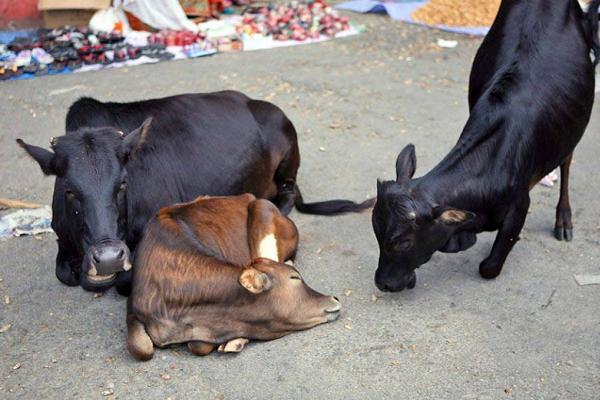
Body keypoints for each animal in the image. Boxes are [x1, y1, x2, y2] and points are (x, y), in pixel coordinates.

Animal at [127, 192, 340, 360]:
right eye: (295, 278)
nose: (335, 298)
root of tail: (248, 197)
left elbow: (198, 345)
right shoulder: (133, 308)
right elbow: (140, 348)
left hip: (263, 212)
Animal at [372, 0, 596, 290]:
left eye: (403, 242)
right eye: (376, 233)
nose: (382, 283)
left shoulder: (519, 205)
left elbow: (489, 267)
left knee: (567, 162)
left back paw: (564, 219)